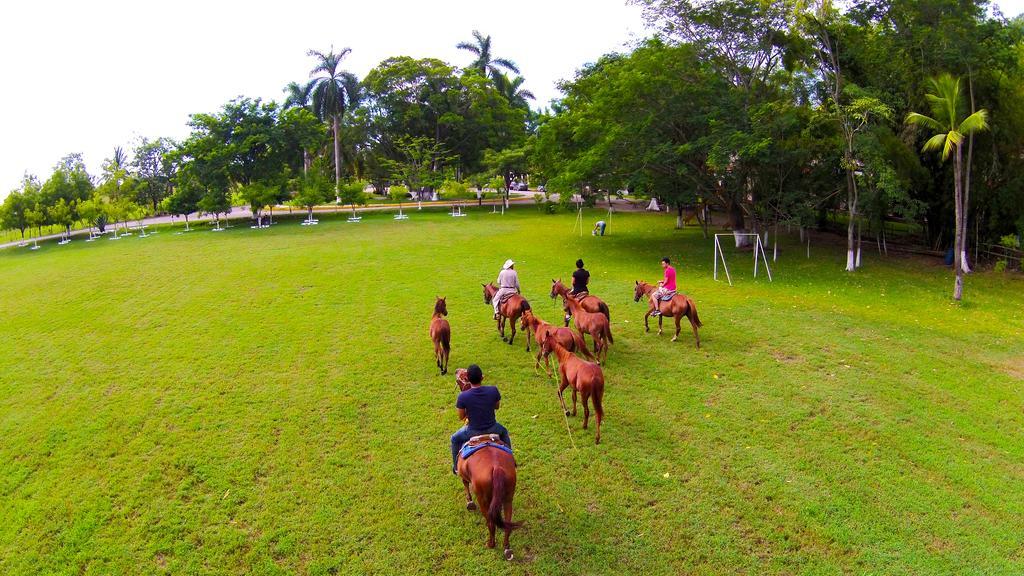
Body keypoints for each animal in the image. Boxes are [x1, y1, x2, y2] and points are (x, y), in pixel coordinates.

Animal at [454, 366, 520, 557]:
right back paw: (506, 548)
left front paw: (469, 503)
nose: (456, 370)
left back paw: (491, 544)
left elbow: (465, 485)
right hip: (508, 496)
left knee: (490, 522)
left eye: (462, 375)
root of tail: (496, 468)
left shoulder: (464, 475)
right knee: (507, 523)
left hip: (484, 498)